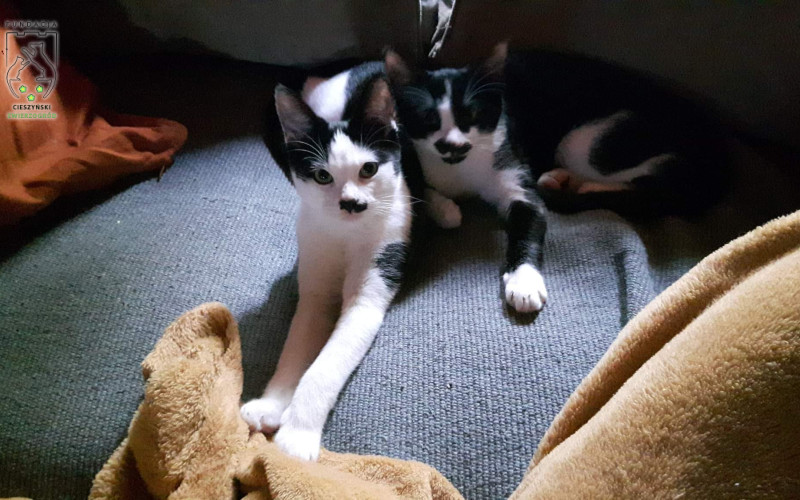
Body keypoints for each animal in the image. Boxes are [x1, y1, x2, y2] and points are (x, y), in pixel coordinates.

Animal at [240, 67, 412, 461]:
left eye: (369, 168)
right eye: (322, 176)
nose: (351, 204)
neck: (345, 233)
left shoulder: (375, 277)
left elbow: (324, 367)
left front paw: (296, 436)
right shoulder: (314, 270)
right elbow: (296, 346)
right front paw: (271, 405)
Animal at [384, 45, 549, 314]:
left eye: (472, 113)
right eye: (428, 118)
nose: (452, 144)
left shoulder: (510, 163)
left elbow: (530, 217)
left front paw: (524, 282)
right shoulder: (407, 151)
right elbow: (422, 189)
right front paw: (446, 210)